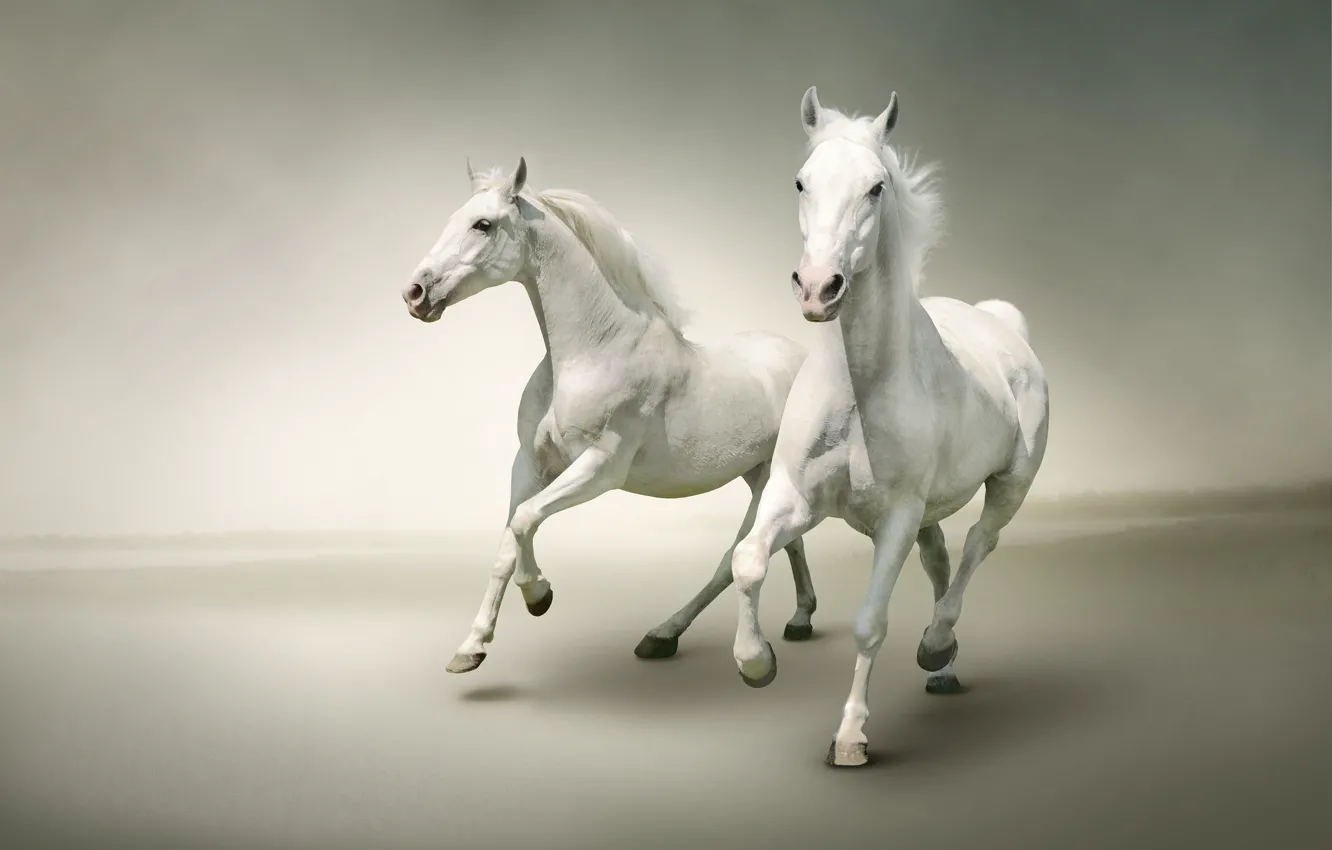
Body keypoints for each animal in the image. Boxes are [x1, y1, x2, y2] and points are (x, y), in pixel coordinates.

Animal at [400, 156, 821, 673]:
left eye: (483, 224)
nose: (415, 293)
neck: (594, 351)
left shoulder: (600, 468)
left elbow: (524, 521)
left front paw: (539, 595)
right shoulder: (530, 464)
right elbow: (507, 541)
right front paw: (471, 648)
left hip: (767, 481)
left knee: (735, 557)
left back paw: (669, 636)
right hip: (758, 473)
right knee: (787, 542)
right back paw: (798, 619)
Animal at [728, 88, 1051, 767]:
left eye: (876, 187)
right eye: (801, 181)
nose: (818, 287)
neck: (859, 391)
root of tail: (1002, 325)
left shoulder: (896, 518)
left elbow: (869, 622)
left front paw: (850, 738)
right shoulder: (796, 498)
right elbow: (747, 560)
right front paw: (756, 662)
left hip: (1011, 485)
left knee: (979, 545)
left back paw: (937, 644)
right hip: (931, 512)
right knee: (941, 559)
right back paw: (944, 668)